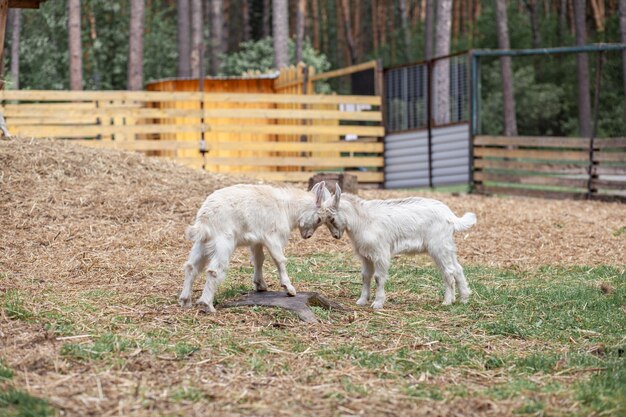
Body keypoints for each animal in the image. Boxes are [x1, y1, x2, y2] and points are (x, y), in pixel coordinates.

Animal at [179, 182, 330, 312]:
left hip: (202, 243)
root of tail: (205, 219)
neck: (286, 208)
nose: (308, 236)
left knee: (191, 267)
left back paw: (185, 301)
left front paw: (260, 285)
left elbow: (259, 260)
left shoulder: (257, 241)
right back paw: (207, 305)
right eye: (319, 219)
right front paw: (289, 289)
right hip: (223, 243)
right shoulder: (273, 237)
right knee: (214, 271)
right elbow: (280, 260)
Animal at [300, 184, 476, 308]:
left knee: (449, 272)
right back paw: (464, 298)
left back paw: (447, 301)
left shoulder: (380, 253)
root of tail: (451, 217)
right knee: (458, 269)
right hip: (447, 246)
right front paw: (362, 300)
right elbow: (365, 276)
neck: (363, 221)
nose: (336, 236)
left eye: (331, 218)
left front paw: (377, 303)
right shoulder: (366, 255)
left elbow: (378, 278)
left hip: (438, 246)